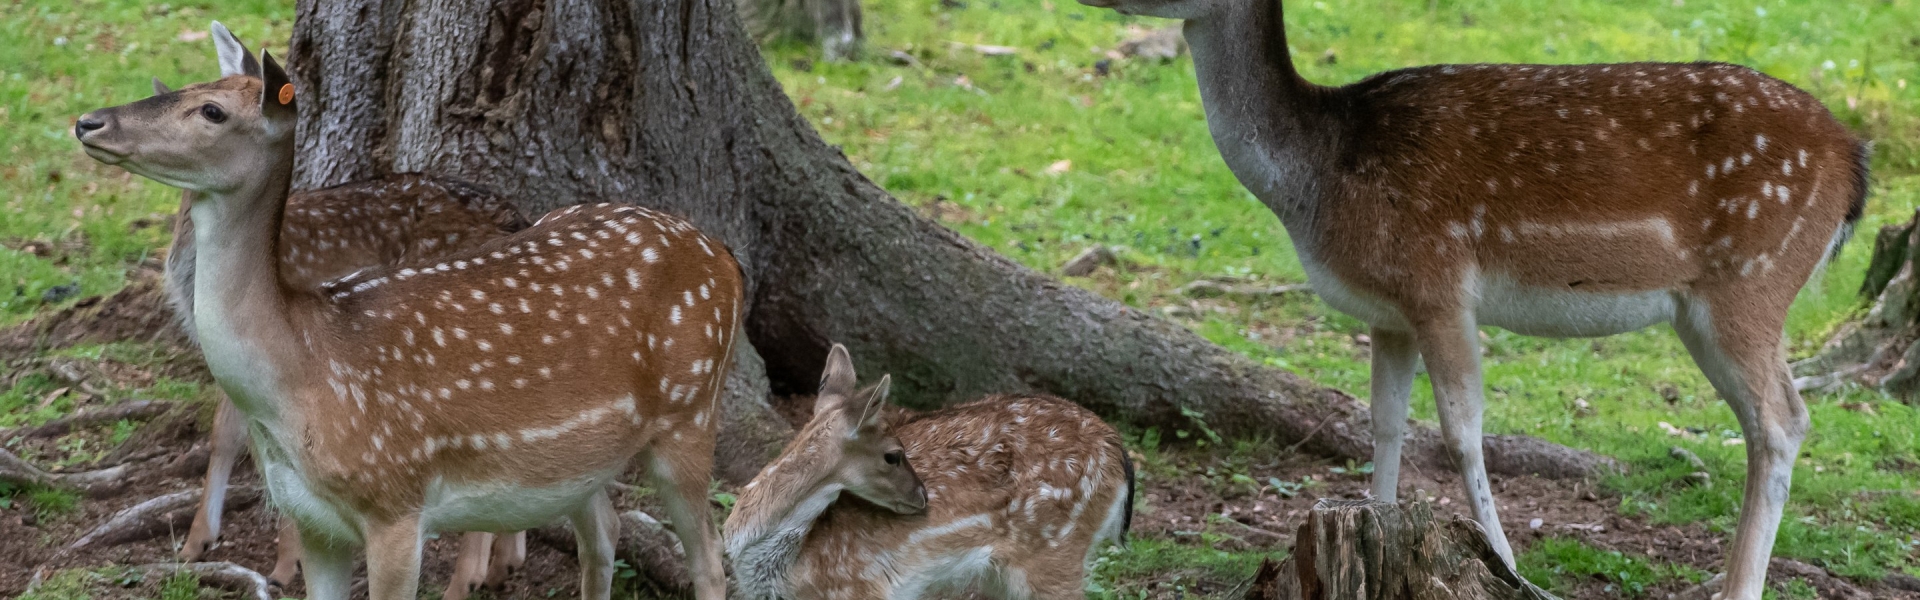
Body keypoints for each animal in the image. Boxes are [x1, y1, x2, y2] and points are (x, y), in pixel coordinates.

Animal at [74, 23, 737, 600]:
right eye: (184, 87)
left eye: (213, 111)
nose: (88, 120)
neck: (302, 372)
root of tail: (724, 257)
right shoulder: (313, 519)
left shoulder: (396, 505)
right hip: (578, 462)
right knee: (604, 534)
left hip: (690, 413)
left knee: (710, 556)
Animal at [1082, 0, 1873, 596]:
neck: (1317, 179)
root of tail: (1854, 160)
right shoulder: (1389, 312)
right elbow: (1385, 424)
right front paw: (1378, 516)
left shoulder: (1438, 283)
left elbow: (1462, 431)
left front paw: (1510, 563)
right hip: (1716, 306)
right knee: (1773, 421)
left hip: (1750, 281)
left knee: (1783, 420)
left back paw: (1738, 585)